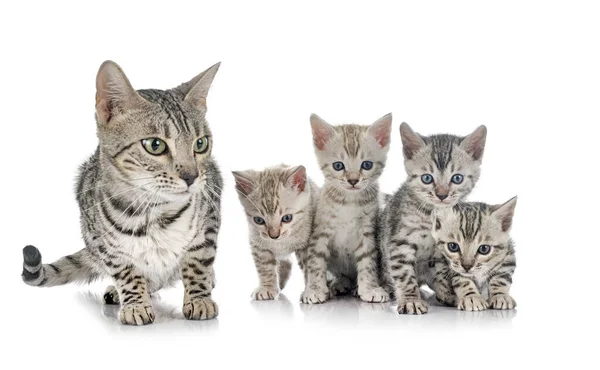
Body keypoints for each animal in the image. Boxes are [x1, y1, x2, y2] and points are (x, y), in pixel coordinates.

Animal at [21, 60, 224, 324]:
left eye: (200, 144)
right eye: (155, 145)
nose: (191, 176)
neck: (155, 212)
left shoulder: (209, 222)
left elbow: (198, 264)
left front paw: (200, 299)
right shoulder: (103, 242)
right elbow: (127, 273)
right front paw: (136, 303)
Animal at [233, 165, 322, 300]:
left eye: (287, 218)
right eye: (259, 220)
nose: (274, 236)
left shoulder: (308, 244)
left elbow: (311, 267)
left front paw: (311, 291)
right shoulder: (258, 244)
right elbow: (265, 267)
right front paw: (267, 288)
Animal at [300, 112, 394, 304]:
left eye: (367, 165)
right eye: (338, 166)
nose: (352, 180)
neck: (349, 202)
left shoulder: (368, 233)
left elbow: (368, 262)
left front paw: (370, 288)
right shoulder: (319, 232)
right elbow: (315, 262)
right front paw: (314, 289)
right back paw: (339, 283)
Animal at [382, 123, 490, 314]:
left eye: (457, 178)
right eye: (427, 178)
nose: (442, 195)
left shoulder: (442, 251)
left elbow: (443, 273)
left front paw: (449, 294)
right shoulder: (400, 244)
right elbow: (405, 275)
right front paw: (411, 299)